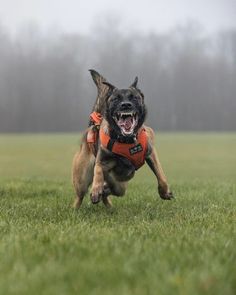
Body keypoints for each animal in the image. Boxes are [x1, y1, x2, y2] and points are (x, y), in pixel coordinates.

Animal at [71, 69, 172, 209]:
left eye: (134, 97)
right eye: (115, 99)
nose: (125, 105)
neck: (127, 141)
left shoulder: (151, 153)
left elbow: (160, 173)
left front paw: (164, 192)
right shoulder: (101, 160)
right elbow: (98, 170)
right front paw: (96, 189)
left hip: (120, 185)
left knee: (109, 192)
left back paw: (107, 200)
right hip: (82, 180)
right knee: (80, 196)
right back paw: (77, 208)